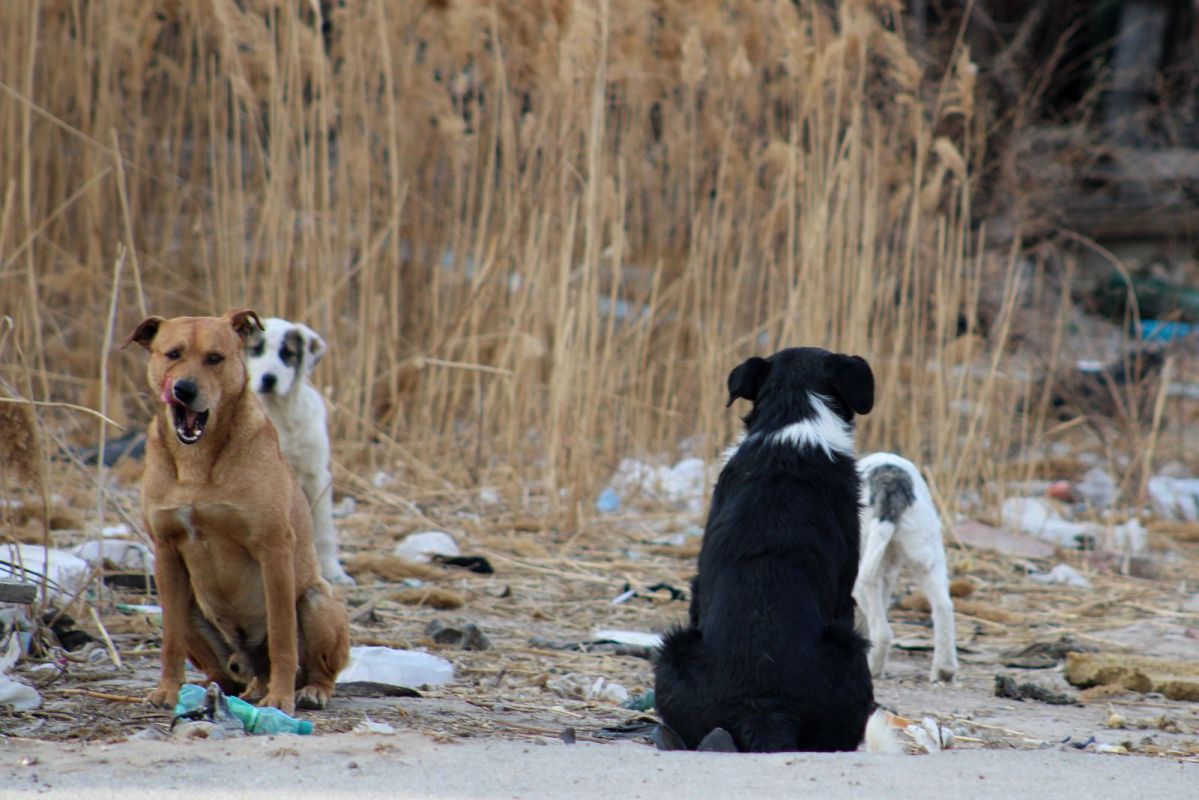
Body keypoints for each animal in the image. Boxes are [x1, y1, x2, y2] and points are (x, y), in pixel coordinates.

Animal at [244, 316, 352, 585]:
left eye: (288, 354)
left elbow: (324, 532)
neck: (279, 413)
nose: (269, 379)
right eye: (256, 349)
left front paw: (334, 573)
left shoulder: (318, 476)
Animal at [853, 453, 954, 686]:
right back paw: (944, 670)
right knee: (943, 607)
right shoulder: (887, 574)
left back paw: (873, 670)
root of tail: (895, 483)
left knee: (882, 632)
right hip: (928, 560)